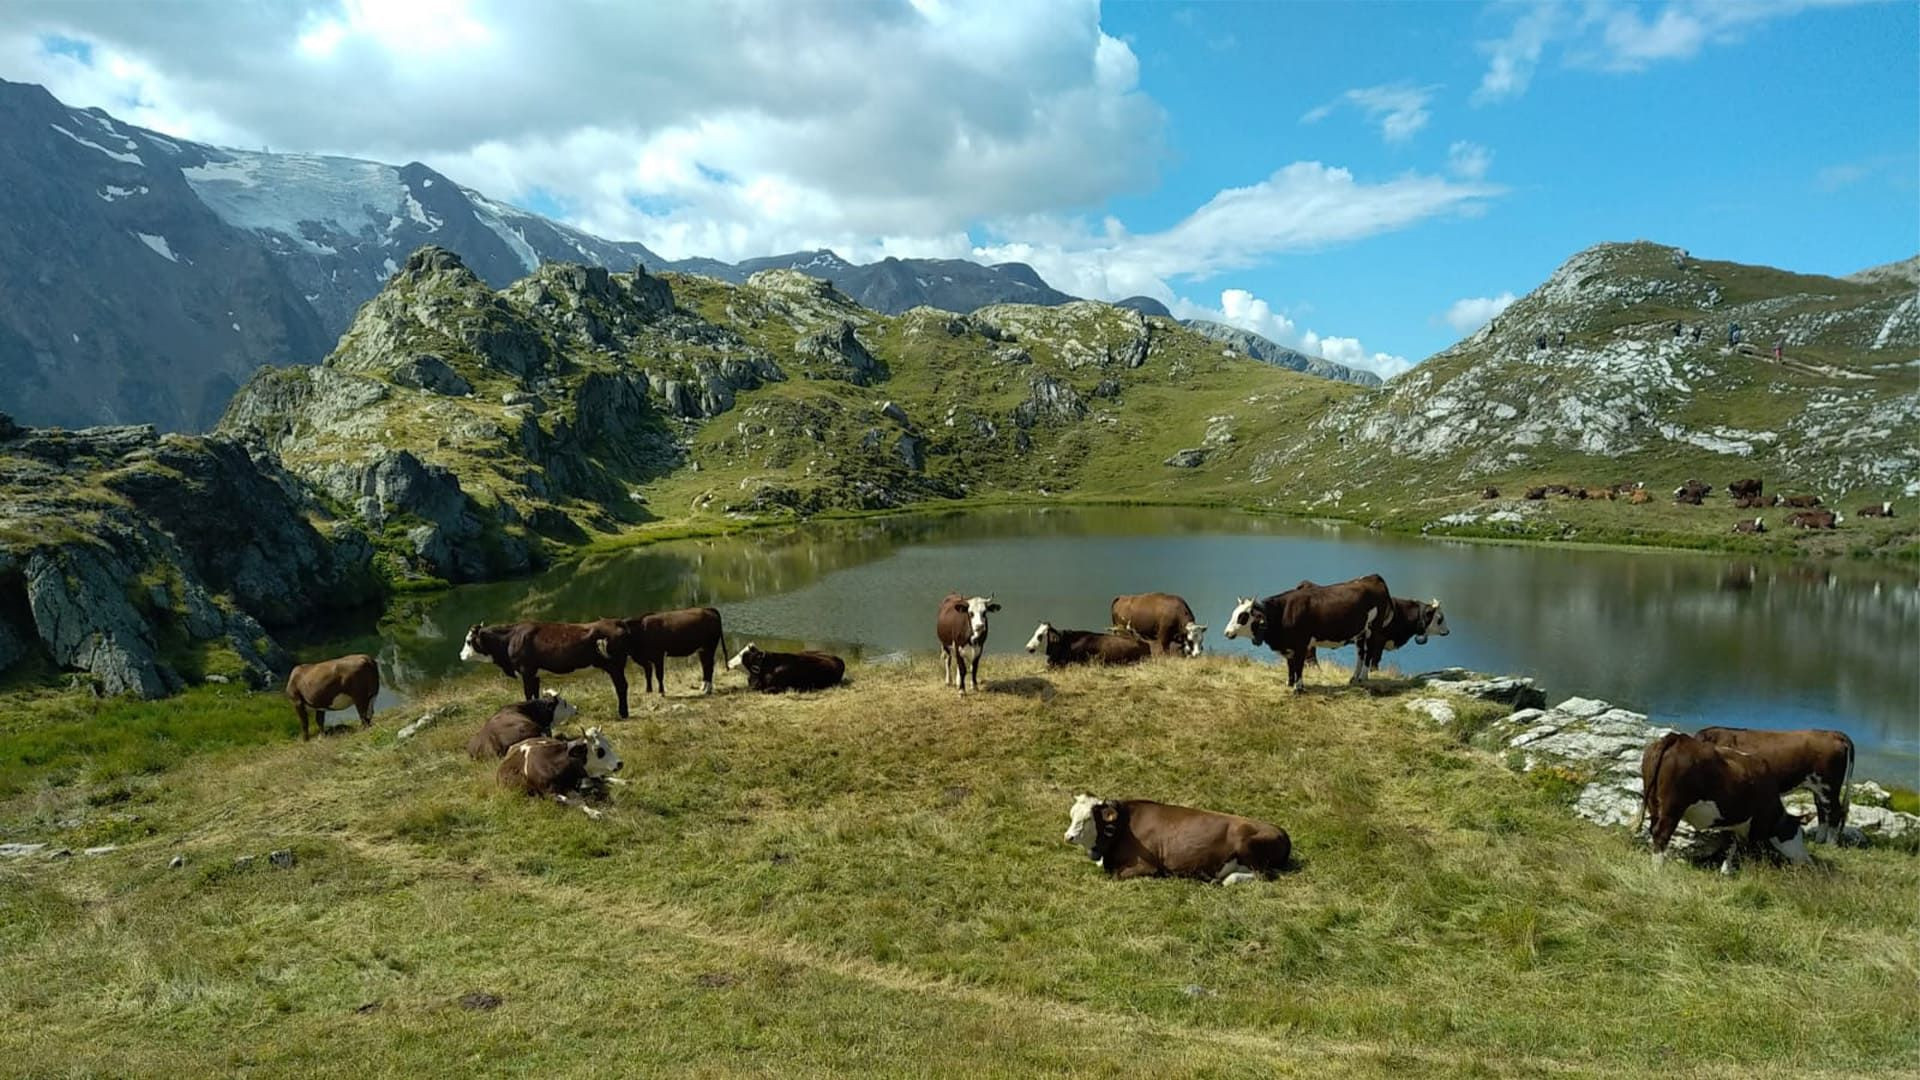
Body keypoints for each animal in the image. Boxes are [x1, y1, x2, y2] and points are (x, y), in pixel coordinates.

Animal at [460, 620, 631, 718]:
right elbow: (535, 695)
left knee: (621, 686)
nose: (461, 655)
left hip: (615, 665)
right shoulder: (535, 674)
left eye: (468, 641)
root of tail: (615, 621)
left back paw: (622, 713)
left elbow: (528, 694)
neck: (510, 639)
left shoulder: (526, 672)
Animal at [1063, 794, 1291, 884]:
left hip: (1247, 845)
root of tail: (1281, 831)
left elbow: (1116, 875)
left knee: (1264, 875)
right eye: (1072, 815)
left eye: (1087, 818)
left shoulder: (1148, 866)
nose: (1068, 837)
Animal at [1224, 574, 1393, 691]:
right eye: (1233, 613)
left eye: (1243, 617)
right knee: (1361, 654)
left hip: (1373, 629)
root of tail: (1373, 577)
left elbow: (1298, 665)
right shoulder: (1289, 646)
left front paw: (1298, 688)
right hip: (1360, 632)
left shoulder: (1301, 644)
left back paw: (1363, 678)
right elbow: (1290, 665)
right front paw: (1289, 683)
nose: (1226, 632)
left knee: (1369, 653)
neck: (1282, 613)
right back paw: (1353, 678)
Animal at [1633, 732, 1810, 873]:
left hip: (1654, 803)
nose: (1806, 860)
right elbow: (1744, 846)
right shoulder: (1753, 822)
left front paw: (1726, 870)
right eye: (1797, 834)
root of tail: (1677, 738)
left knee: (1653, 829)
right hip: (1672, 807)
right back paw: (1658, 869)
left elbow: (1731, 844)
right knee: (1661, 833)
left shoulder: (1731, 820)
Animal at [1694, 727, 1855, 844]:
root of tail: (1831, 733)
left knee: (1835, 812)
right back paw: (1818, 841)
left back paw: (1830, 844)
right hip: (1818, 788)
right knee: (1822, 811)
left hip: (1828, 786)